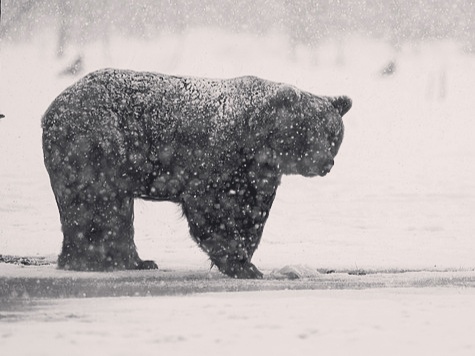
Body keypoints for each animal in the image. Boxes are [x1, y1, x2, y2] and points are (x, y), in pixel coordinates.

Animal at [41, 69, 352, 278]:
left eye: (333, 134)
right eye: (307, 131)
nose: (325, 163)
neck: (257, 143)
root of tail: (52, 108)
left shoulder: (257, 174)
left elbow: (252, 212)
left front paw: (246, 256)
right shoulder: (216, 157)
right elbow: (210, 208)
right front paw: (241, 264)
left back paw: (135, 261)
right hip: (97, 144)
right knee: (98, 203)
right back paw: (99, 261)